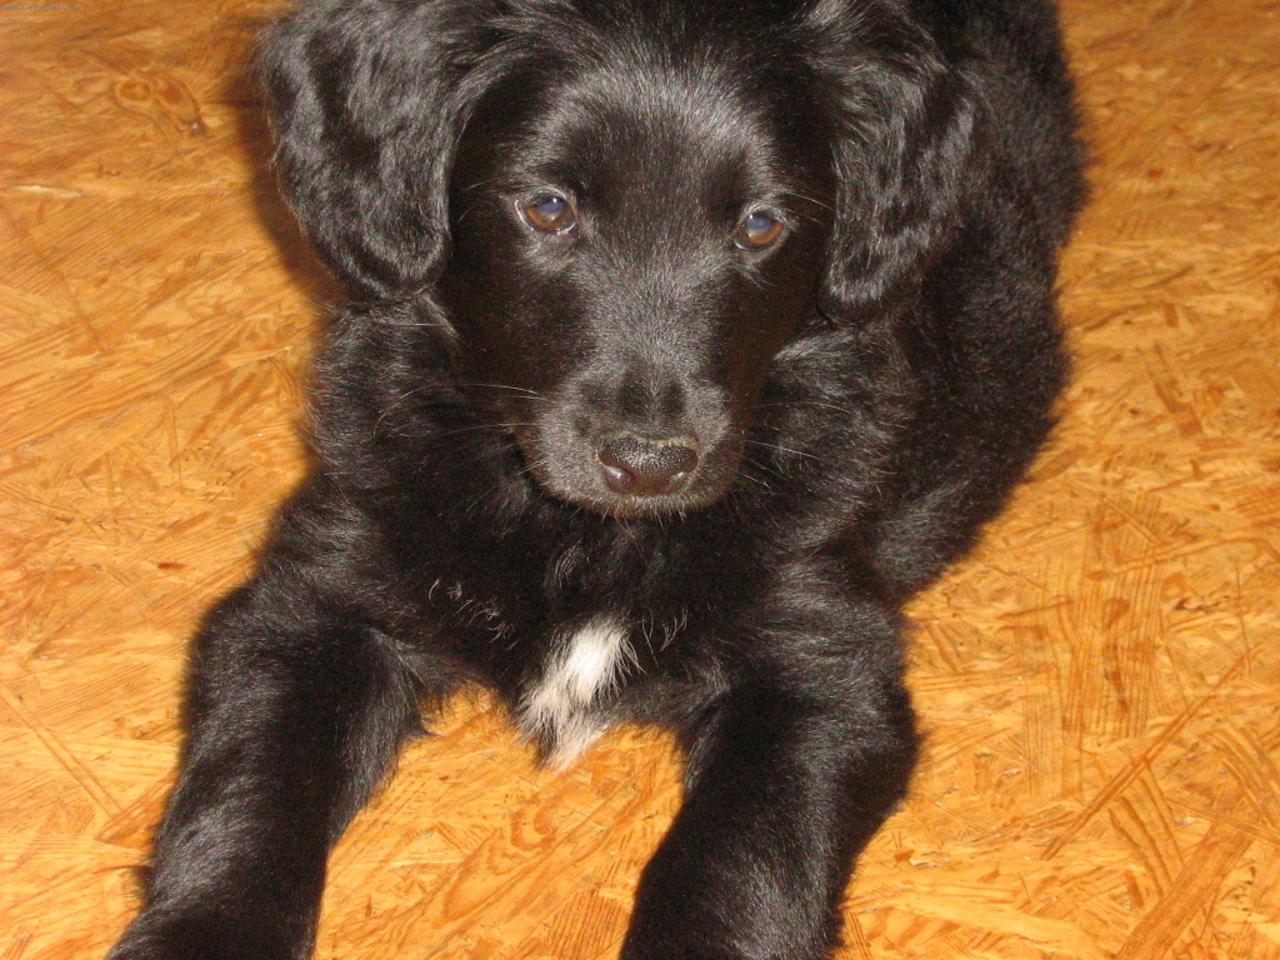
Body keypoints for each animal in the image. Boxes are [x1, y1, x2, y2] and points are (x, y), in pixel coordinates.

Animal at [107, 1, 1084, 957]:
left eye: (761, 224)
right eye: (547, 208)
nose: (649, 463)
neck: (590, 534)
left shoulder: (825, 665)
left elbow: (738, 861)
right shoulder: (313, 597)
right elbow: (249, 798)